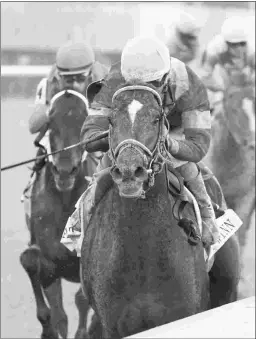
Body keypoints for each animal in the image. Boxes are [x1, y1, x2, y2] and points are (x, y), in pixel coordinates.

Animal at [19, 90, 95, 339]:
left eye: (83, 122)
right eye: (51, 124)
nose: (64, 171)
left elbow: (83, 298)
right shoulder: (50, 260)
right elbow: (30, 260)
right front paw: (49, 329)